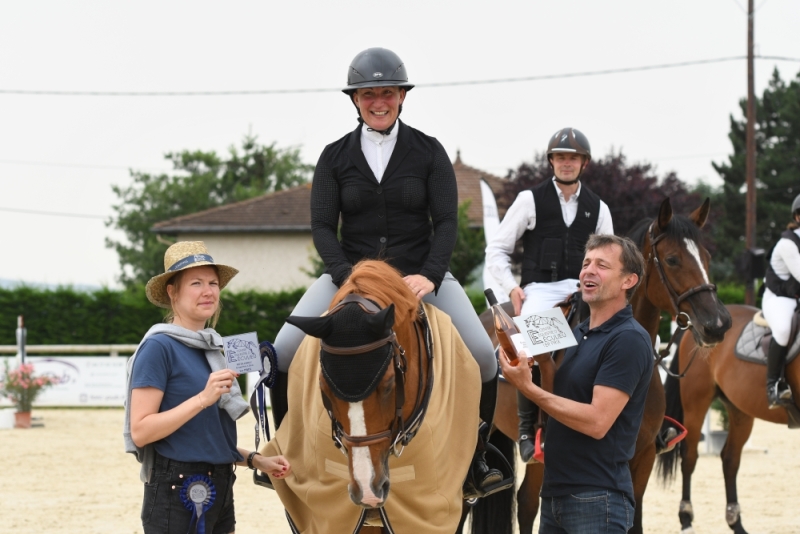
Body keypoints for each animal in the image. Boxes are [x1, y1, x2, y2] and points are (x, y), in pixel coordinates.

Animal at [468, 199, 732, 532]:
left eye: (706, 257)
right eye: (672, 259)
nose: (718, 324)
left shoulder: (643, 457)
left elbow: (635, 518)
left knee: (526, 502)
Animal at [660, 306, 796, 534]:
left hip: (740, 409)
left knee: (730, 459)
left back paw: (736, 523)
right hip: (696, 403)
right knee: (689, 457)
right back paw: (686, 519)